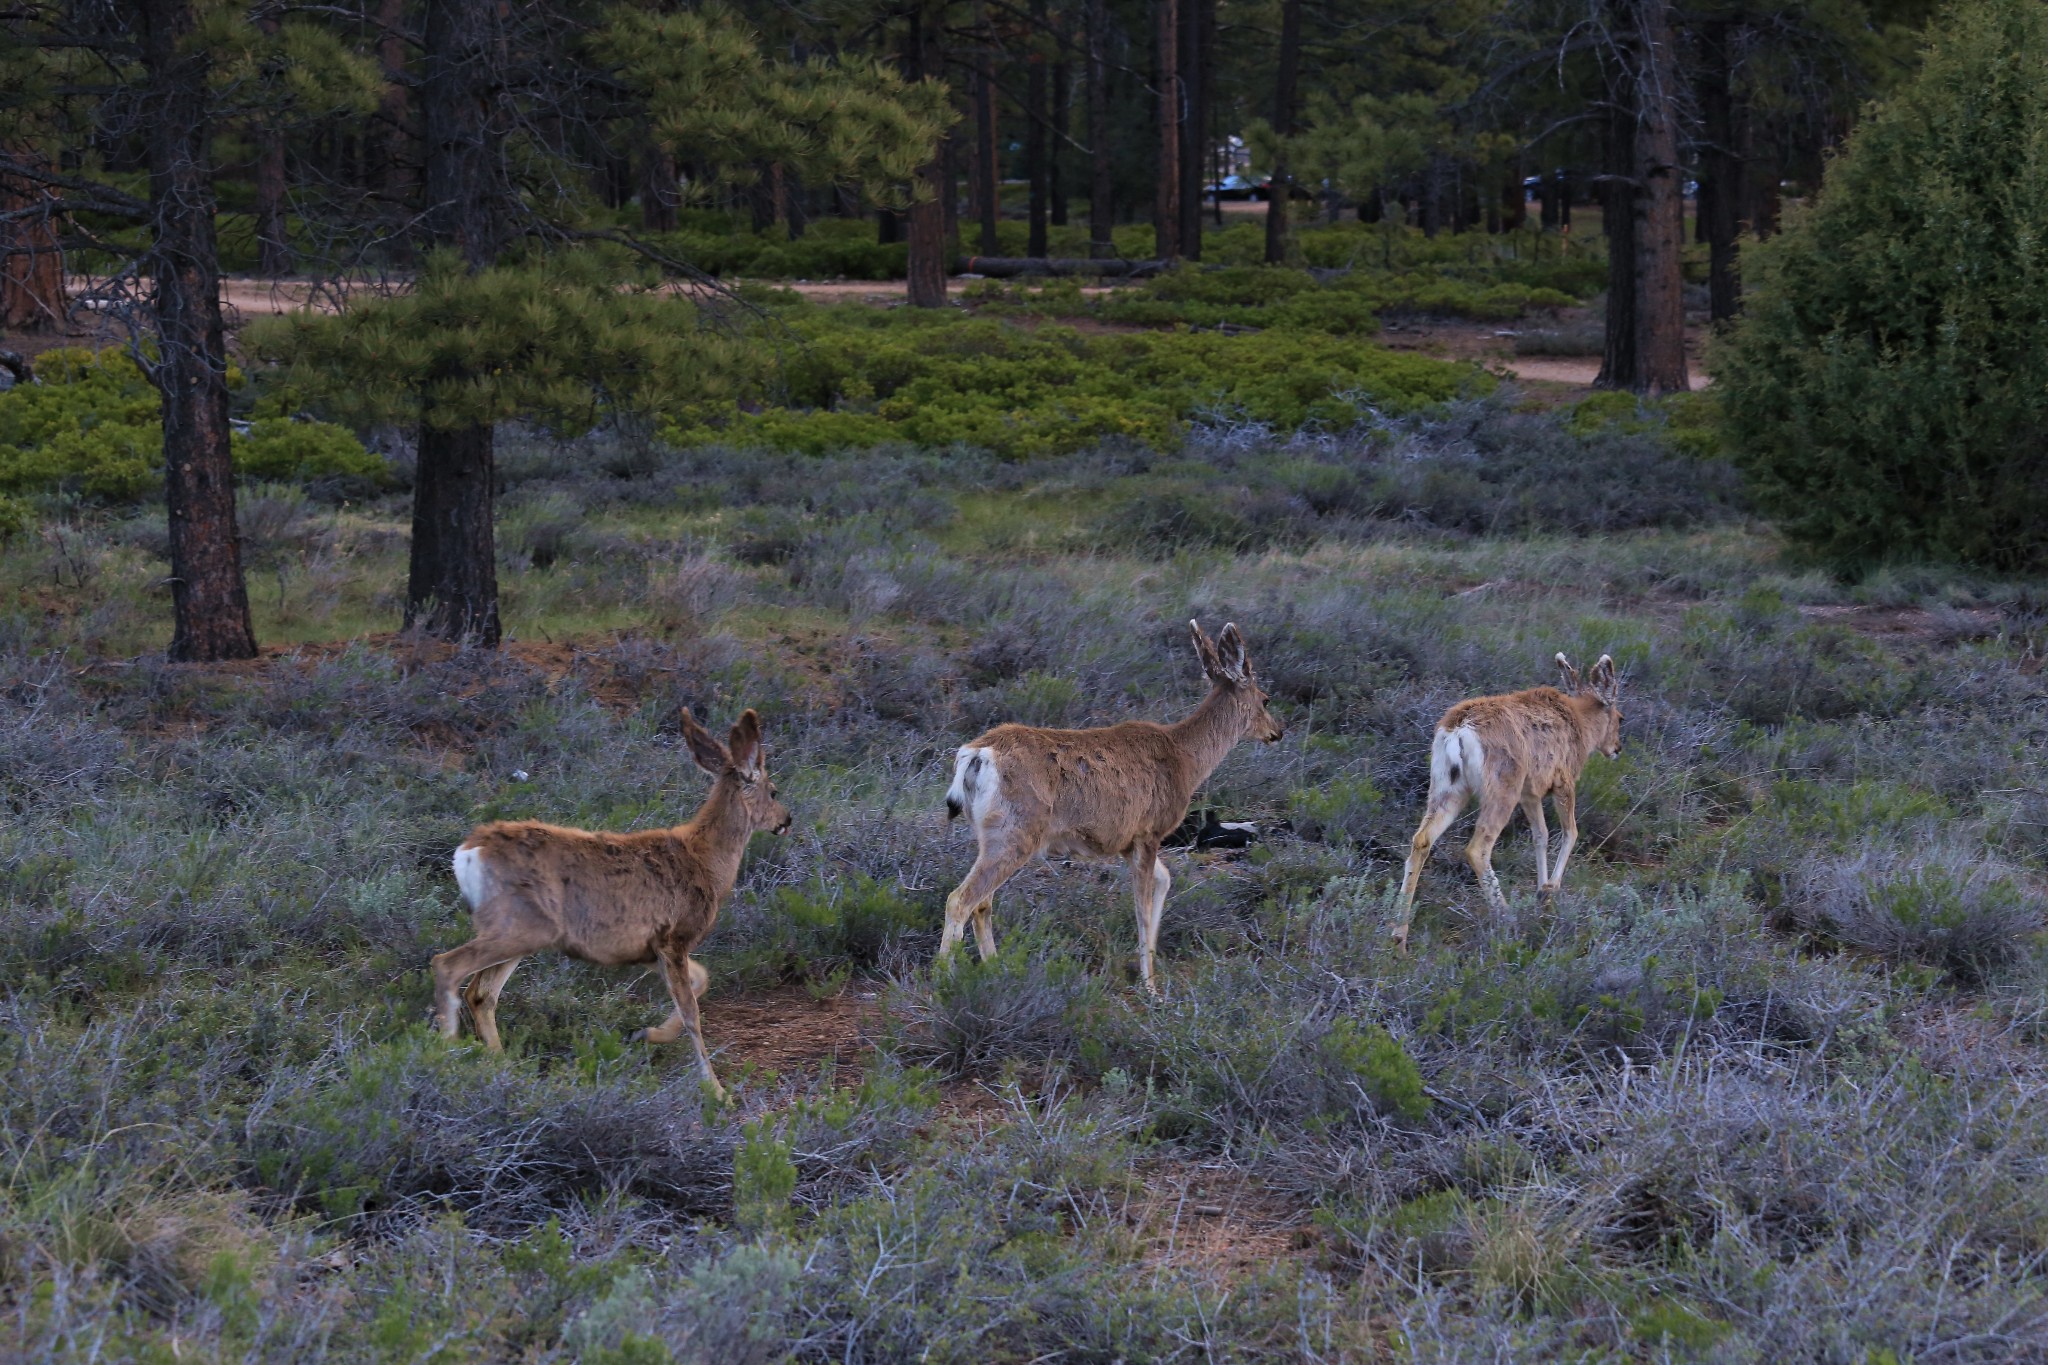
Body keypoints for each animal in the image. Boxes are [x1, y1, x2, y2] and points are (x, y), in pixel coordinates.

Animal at [428, 703, 786, 1096]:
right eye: (774, 791)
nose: (786, 820)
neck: (707, 861)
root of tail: (468, 852)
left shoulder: (647, 948)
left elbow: (701, 980)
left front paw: (646, 1034)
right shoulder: (675, 936)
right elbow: (692, 1012)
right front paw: (718, 1091)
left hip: (518, 931)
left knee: (481, 993)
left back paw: (500, 1065)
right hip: (521, 924)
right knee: (448, 966)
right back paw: (446, 1057)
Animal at [937, 618, 1277, 994]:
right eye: (1266, 699)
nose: (1276, 732)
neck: (1186, 759)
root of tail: (976, 755)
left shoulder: (1129, 842)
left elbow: (1164, 881)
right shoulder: (1149, 831)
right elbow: (1142, 906)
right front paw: (1151, 988)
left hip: (990, 833)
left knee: (982, 903)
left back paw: (995, 970)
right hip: (1014, 831)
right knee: (961, 899)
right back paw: (943, 981)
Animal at [1392, 654, 1630, 945]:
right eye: (1620, 718)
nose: (1617, 748)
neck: (1582, 727)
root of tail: (1458, 732)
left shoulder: (1530, 791)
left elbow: (1540, 835)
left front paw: (1541, 891)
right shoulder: (1563, 780)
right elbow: (1570, 832)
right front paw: (1551, 888)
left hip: (1447, 786)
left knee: (1422, 839)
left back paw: (1399, 934)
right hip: (1503, 786)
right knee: (1477, 848)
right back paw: (1508, 920)